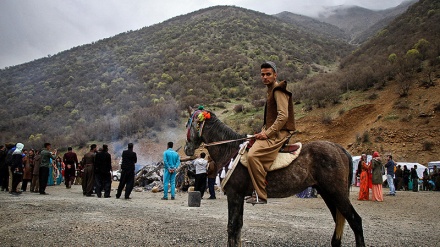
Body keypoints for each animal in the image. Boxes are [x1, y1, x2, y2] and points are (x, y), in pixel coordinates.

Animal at [184, 110, 366, 247]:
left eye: (188, 124)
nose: (187, 149)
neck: (230, 150)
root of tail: (339, 149)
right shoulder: (239, 196)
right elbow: (238, 227)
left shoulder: (234, 195)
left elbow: (232, 227)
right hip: (328, 193)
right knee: (340, 221)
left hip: (336, 193)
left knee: (355, 221)